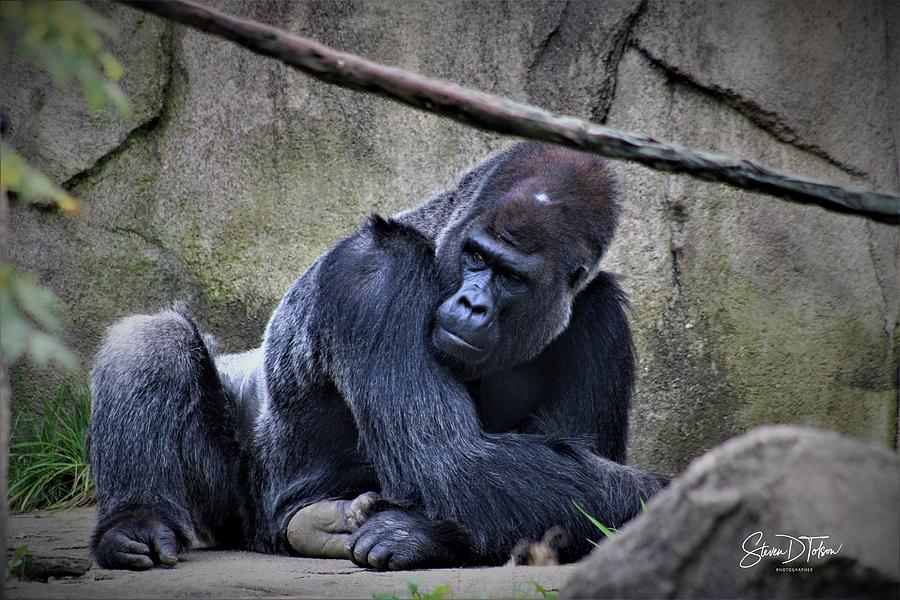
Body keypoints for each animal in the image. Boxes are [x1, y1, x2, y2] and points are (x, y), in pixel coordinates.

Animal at [89, 142, 668, 572]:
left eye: (511, 276)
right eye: (477, 257)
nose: (472, 305)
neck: (437, 234)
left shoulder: (598, 313)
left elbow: (562, 465)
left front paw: (417, 534)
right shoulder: (374, 276)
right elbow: (450, 457)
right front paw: (659, 490)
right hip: (239, 503)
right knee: (153, 337)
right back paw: (136, 523)